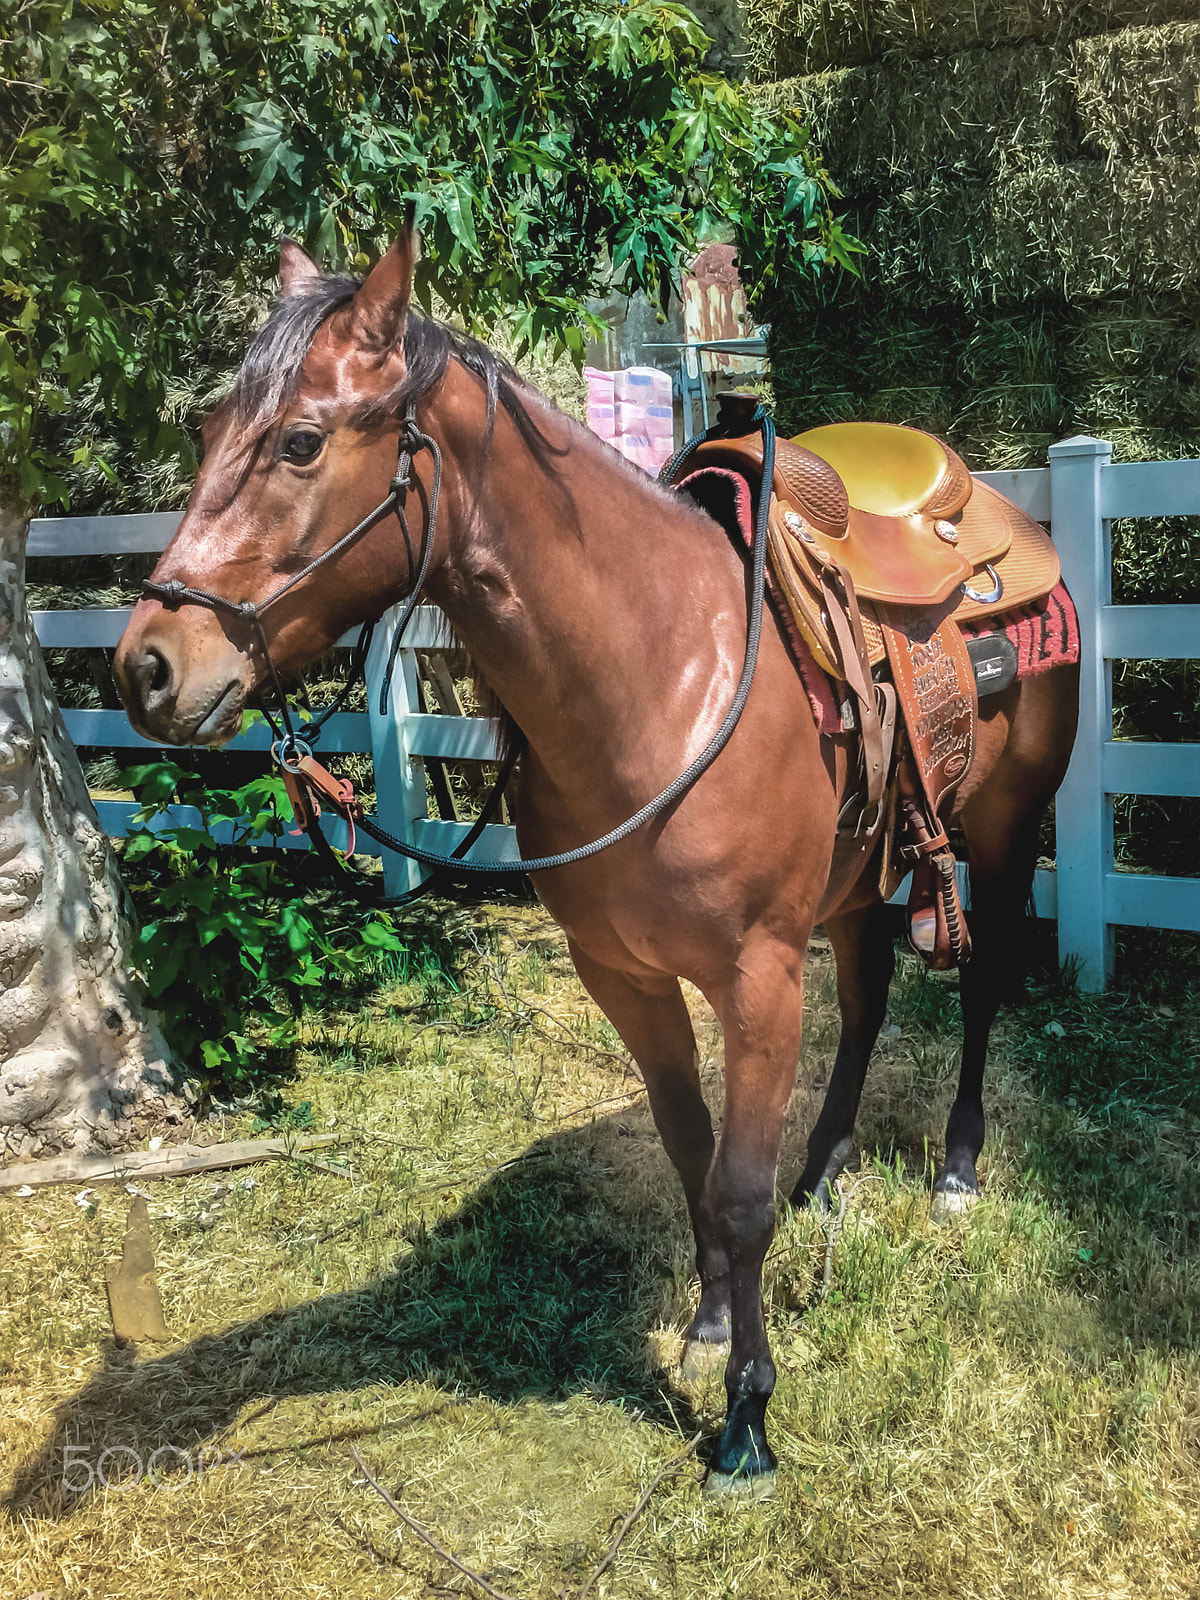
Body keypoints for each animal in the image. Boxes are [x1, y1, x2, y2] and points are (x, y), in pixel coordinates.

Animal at [114, 225, 1079, 1495]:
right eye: (207, 430)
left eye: (301, 441)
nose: (148, 667)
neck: (657, 679)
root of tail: (1009, 514)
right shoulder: (622, 974)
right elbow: (690, 1151)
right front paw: (711, 1322)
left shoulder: (758, 977)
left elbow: (739, 1190)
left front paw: (748, 1415)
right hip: (860, 876)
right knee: (870, 998)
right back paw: (828, 1168)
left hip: (1007, 831)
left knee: (981, 982)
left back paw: (958, 1170)